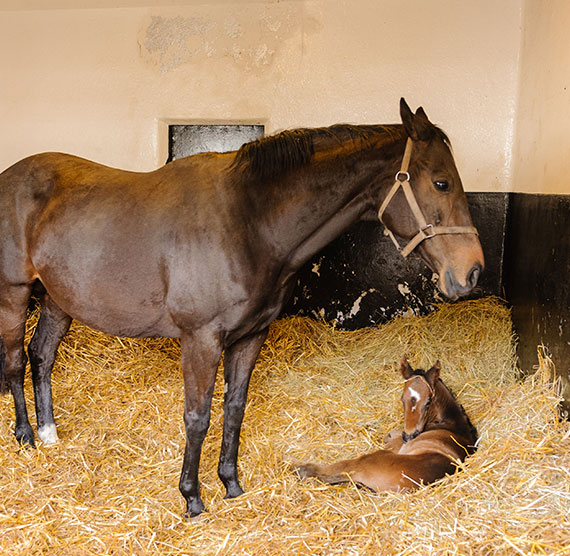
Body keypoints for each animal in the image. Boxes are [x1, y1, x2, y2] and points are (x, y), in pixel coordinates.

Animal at [296, 356, 478, 490]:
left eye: (427, 403)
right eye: (402, 399)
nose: (408, 436)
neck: (452, 424)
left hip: (368, 460)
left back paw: (300, 469)